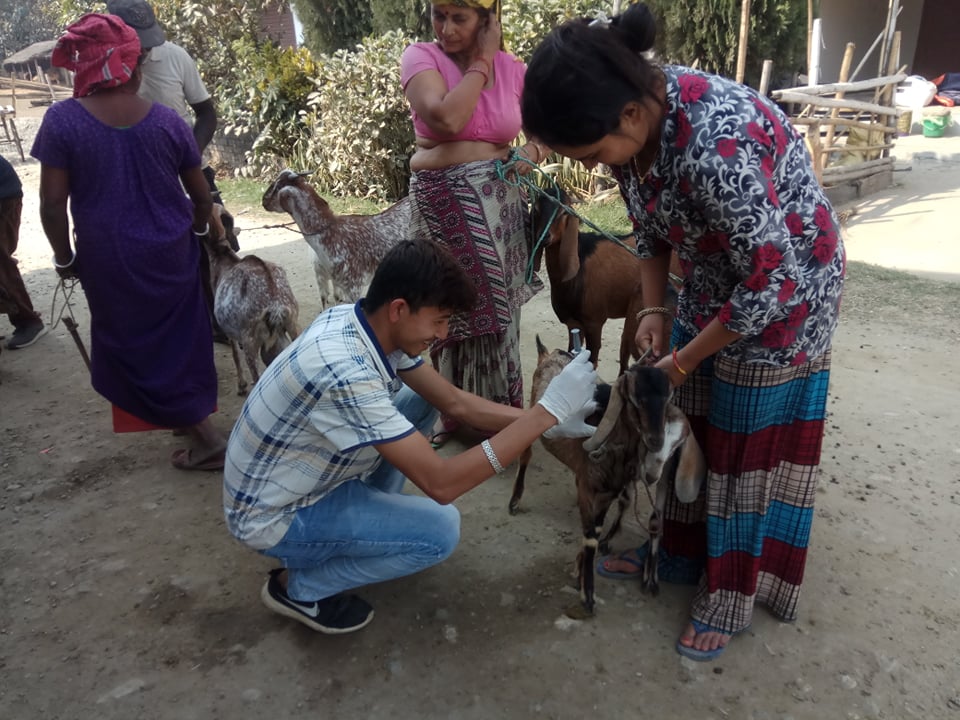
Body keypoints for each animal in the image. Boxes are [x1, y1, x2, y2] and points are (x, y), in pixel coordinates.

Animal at [203, 206, 301, 395]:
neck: (222, 257)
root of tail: (276, 305)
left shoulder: (229, 330)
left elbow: (235, 354)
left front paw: (241, 385)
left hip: (250, 340)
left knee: (256, 376)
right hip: (294, 325)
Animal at [510, 337, 705, 615]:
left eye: (668, 396)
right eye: (634, 399)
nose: (655, 442)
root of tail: (551, 354)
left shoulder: (608, 492)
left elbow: (598, 528)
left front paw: (581, 573)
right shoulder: (588, 488)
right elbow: (590, 535)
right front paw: (587, 595)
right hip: (531, 417)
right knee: (525, 454)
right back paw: (515, 500)